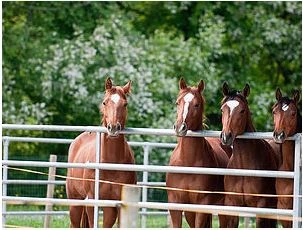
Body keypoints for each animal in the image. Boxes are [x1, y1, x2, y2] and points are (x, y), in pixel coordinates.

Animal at [67, 77, 138, 228]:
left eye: (125, 104)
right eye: (105, 102)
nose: (113, 127)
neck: (111, 163)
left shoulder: (118, 205)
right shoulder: (92, 201)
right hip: (75, 201)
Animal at [166, 78, 230, 227]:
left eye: (196, 105)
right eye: (177, 102)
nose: (180, 127)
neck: (187, 163)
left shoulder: (202, 204)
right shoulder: (175, 204)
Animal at [218, 82, 280, 227]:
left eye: (242, 110)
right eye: (222, 109)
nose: (226, 136)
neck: (243, 167)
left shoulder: (261, 207)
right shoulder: (232, 206)